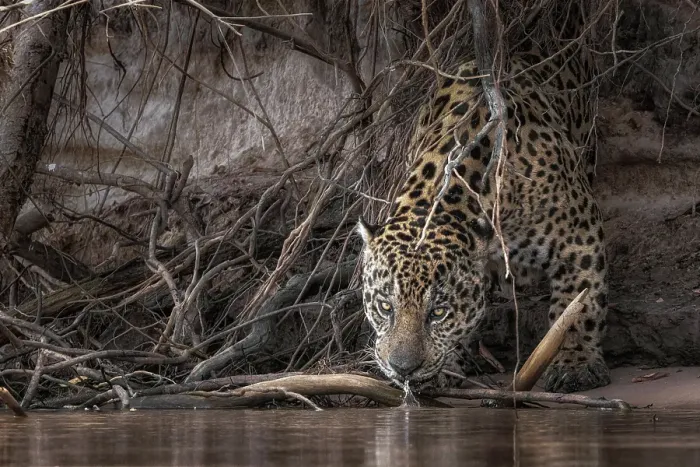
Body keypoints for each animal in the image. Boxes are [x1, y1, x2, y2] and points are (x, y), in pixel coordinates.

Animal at [356, 14, 610, 394]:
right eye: (386, 307)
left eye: (438, 312)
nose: (403, 368)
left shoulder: (578, 236)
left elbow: (579, 304)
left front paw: (576, 364)